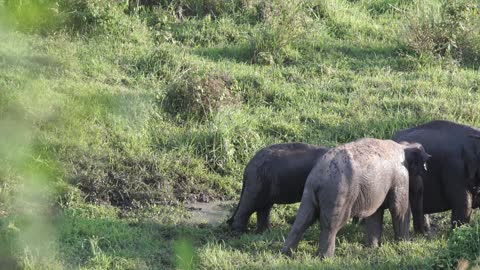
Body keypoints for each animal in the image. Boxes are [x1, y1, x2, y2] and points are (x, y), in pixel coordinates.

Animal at [280, 138, 430, 258]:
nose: (424, 234)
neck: (403, 145)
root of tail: (319, 176)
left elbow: (375, 213)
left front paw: (372, 248)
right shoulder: (400, 176)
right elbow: (399, 209)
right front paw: (404, 244)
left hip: (309, 191)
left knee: (303, 219)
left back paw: (286, 254)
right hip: (339, 193)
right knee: (332, 225)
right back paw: (325, 258)